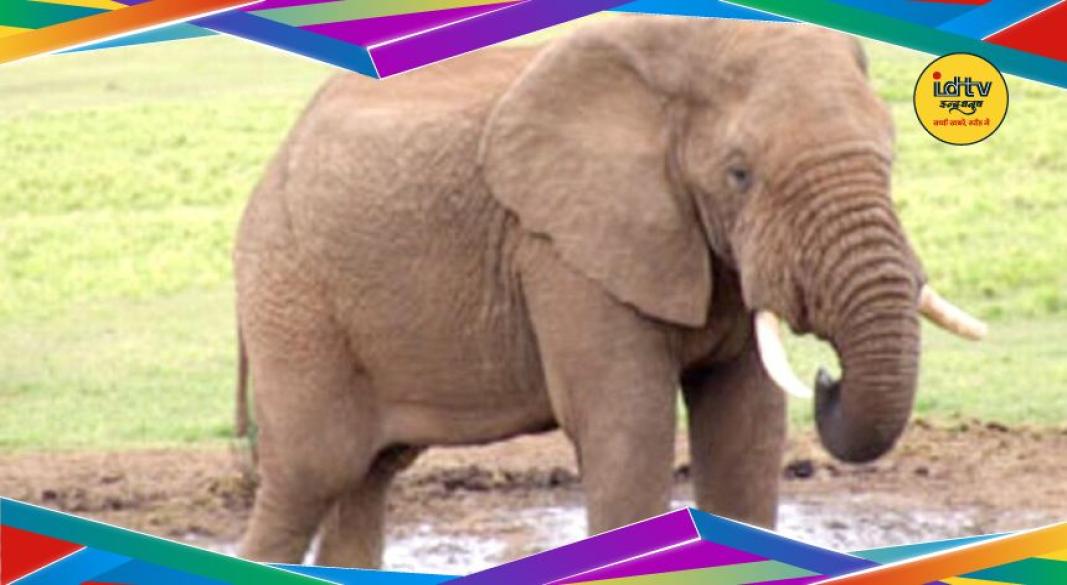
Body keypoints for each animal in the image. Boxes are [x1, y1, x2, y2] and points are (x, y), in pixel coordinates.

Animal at [233, 15, 986, 569]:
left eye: (890, 155)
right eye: (739, 173)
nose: (829, 379)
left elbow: (745, 428)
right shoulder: (563, 248)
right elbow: (627, 426)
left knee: (369, 477)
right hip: (291, 292)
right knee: (313, 471)